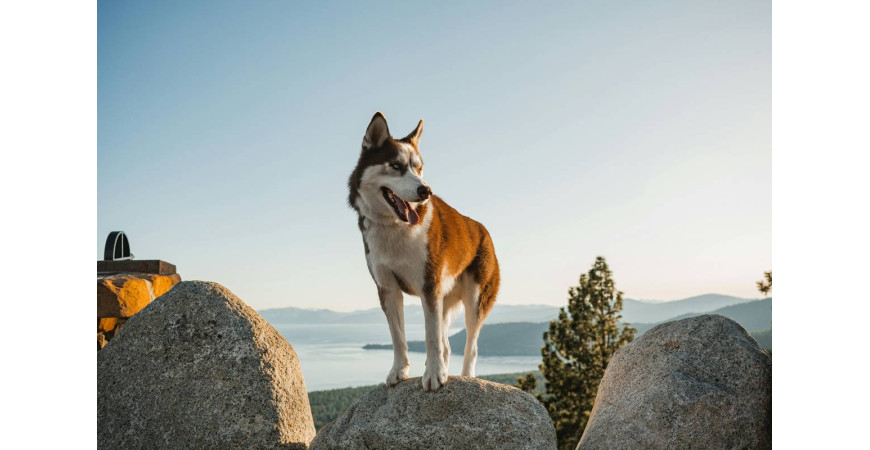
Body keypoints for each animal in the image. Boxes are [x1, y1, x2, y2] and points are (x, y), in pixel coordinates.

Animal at [346, 111, 498, 390]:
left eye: (418, 168)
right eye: (396, 166)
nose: (425, 190)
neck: (395, 228)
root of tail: (482, 229)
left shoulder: (428, 284)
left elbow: (431, 338)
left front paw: (435, 374)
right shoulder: (388, 288)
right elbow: (398, 337)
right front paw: (399, 370)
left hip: (475, 298)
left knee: (471, 346)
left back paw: (467, 376)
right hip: (444, 300)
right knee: (447, 344)